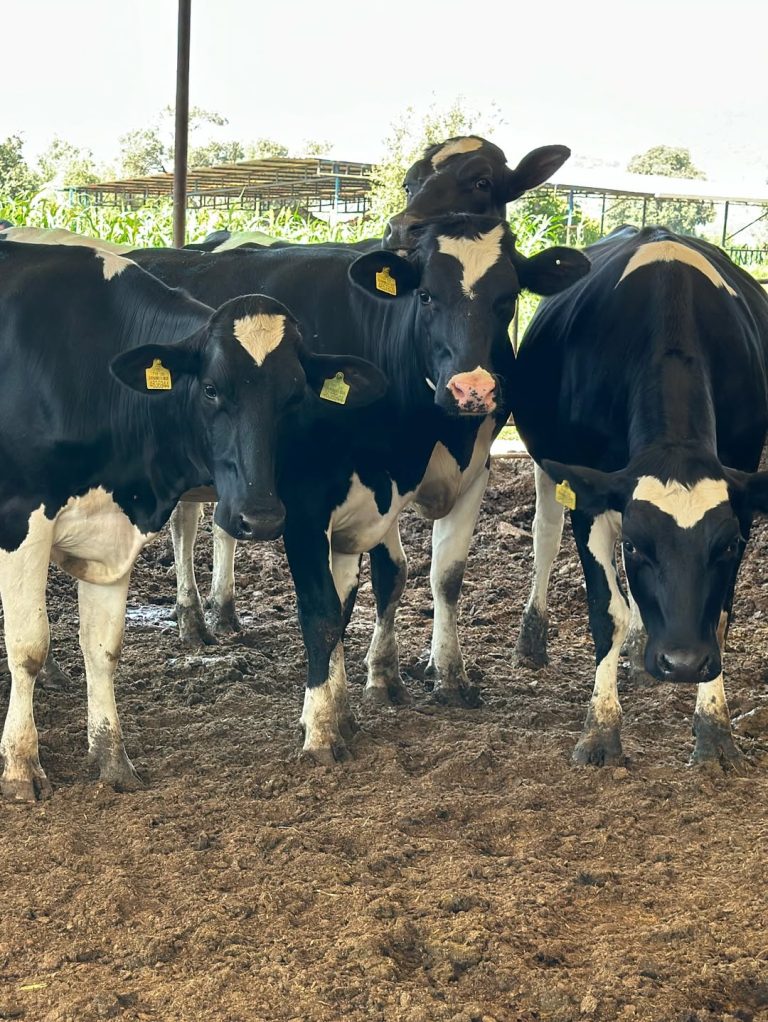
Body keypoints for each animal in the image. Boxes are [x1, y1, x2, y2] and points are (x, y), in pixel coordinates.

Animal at [0, 241, 385, 800]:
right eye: (209, 389)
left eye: (294, 396)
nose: (261, 515)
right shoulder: (20, 521)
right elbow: (29, 647)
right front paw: (21, 766)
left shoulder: (112, 533)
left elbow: (103, 648)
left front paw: (112, 759)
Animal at [128, 215, 589, 762]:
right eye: (426, 295)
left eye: (509, 297)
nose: (471, 390)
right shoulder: (305, 502)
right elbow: (323, 606)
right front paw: (323, 726)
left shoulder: (451, 477)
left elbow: (424, 578)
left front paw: (433, 679)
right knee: (184, 525)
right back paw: (192, 622)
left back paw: (215, 616)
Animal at [511, 224, 768, 771]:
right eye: (634, 546)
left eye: (727, 547)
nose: (683, 662)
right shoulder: (591, 494)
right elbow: (606, 612)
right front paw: (600, 732)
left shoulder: (742, 501)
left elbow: (719, 618)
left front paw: (715, 731)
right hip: (547, 461)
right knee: (545, 534)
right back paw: (532, 637)